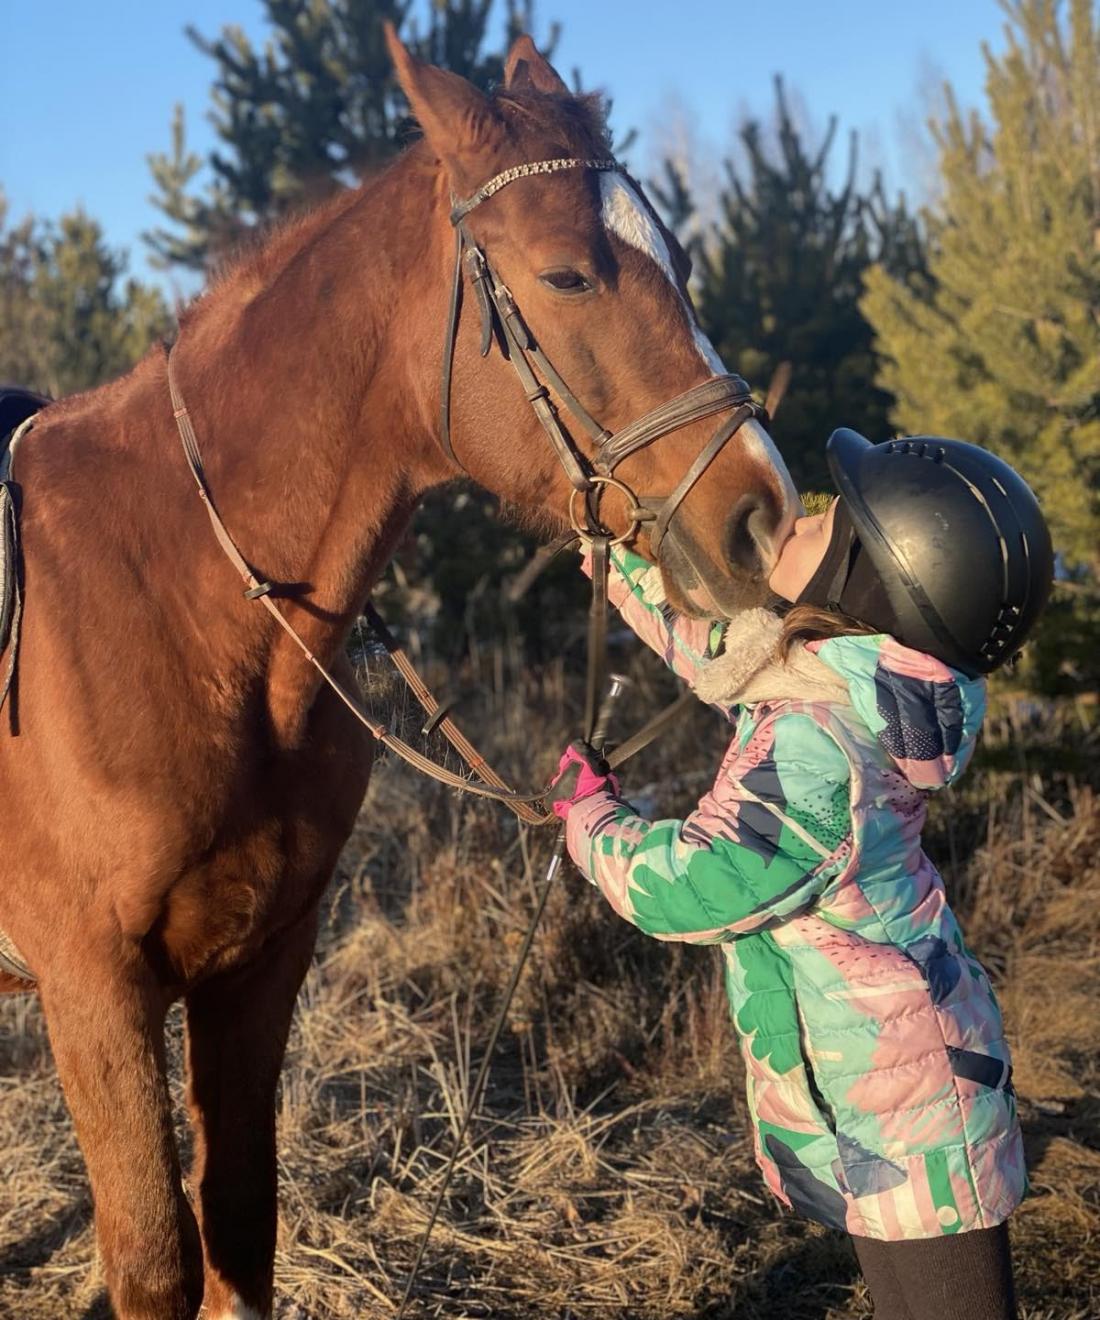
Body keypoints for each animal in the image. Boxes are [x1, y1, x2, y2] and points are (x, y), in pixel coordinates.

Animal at [0, 28, 792, 1320]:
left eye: (674, 257)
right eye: (568, 276)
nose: (763, 521)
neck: (180, 607)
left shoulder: (260, 961)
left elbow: (239, 1227)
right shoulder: (92, 988)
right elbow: (157, 1256)